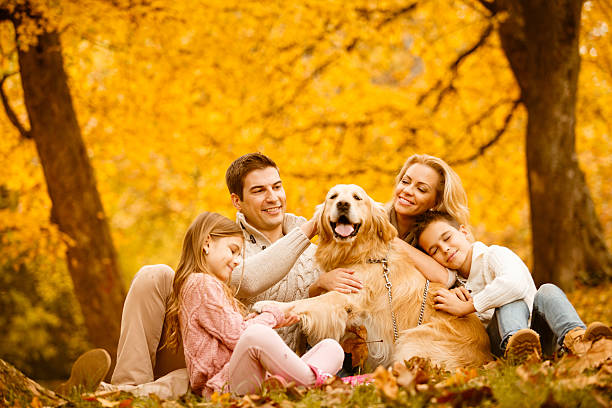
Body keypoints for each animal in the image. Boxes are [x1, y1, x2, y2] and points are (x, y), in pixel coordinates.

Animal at [253, 185, 492, 370]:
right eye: (333, 197)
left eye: (357, 197)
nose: (343, 204)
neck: (359, 254)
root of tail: (488, 357)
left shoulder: (345, 296)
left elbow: (305, 303)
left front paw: (270, 306)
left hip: (413, 340)